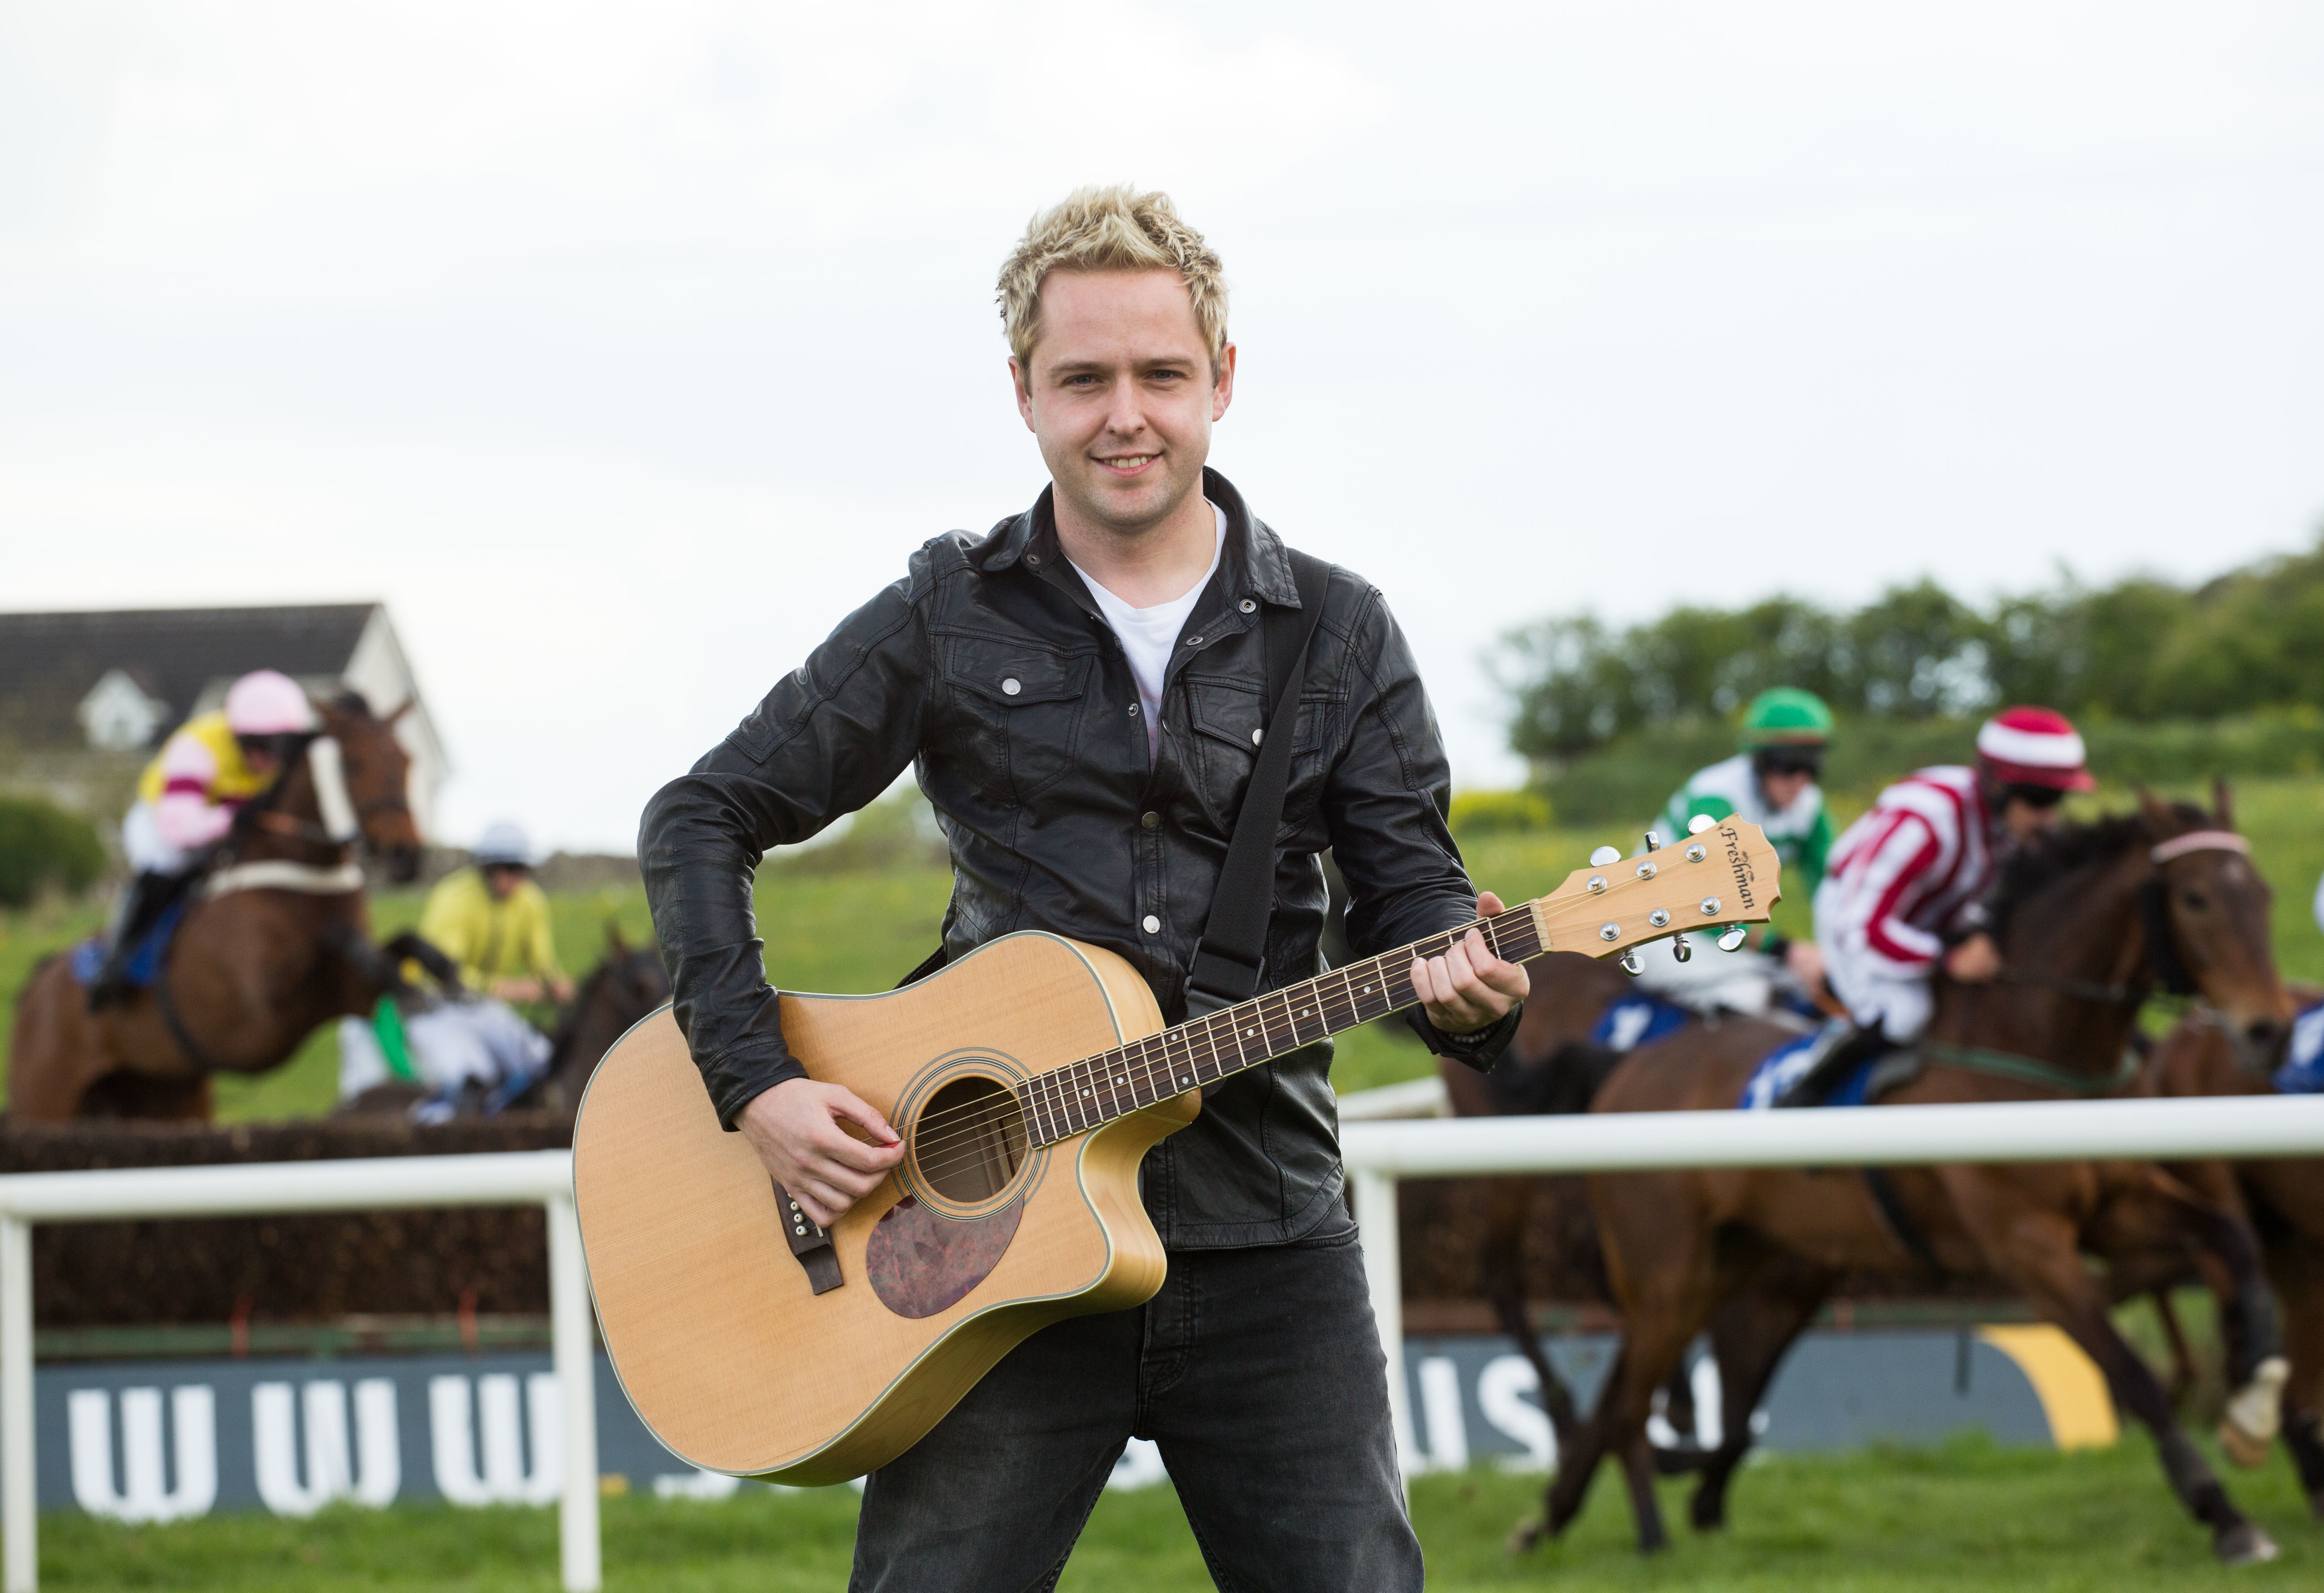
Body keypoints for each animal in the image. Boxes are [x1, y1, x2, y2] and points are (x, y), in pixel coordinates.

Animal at [9, 696, 435, 1124]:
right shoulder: (267, 1007)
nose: (406, 854)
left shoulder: (351, 994)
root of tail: (39, 983)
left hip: (165, 1096)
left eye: (407, 759)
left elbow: (392, 957)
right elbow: (333, 954)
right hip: (46, 1098)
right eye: (352, 764)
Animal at [1543, 794, 2286, 1570]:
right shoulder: (2031, 1250)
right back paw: (1634, 1527)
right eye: (2197, 898)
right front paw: (2224, 1513)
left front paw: (2253, 1407)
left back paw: (1581, 1518)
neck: (2035, 1047)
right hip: (1667, 1270)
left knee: (1665, 1389)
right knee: (1633, 1394)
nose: (2269, 1031)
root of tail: (1627, 1068)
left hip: (1755, 1266)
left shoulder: (2119, 1208)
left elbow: (2232, 1240)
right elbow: (2132, 1375)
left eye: (2263, 894)